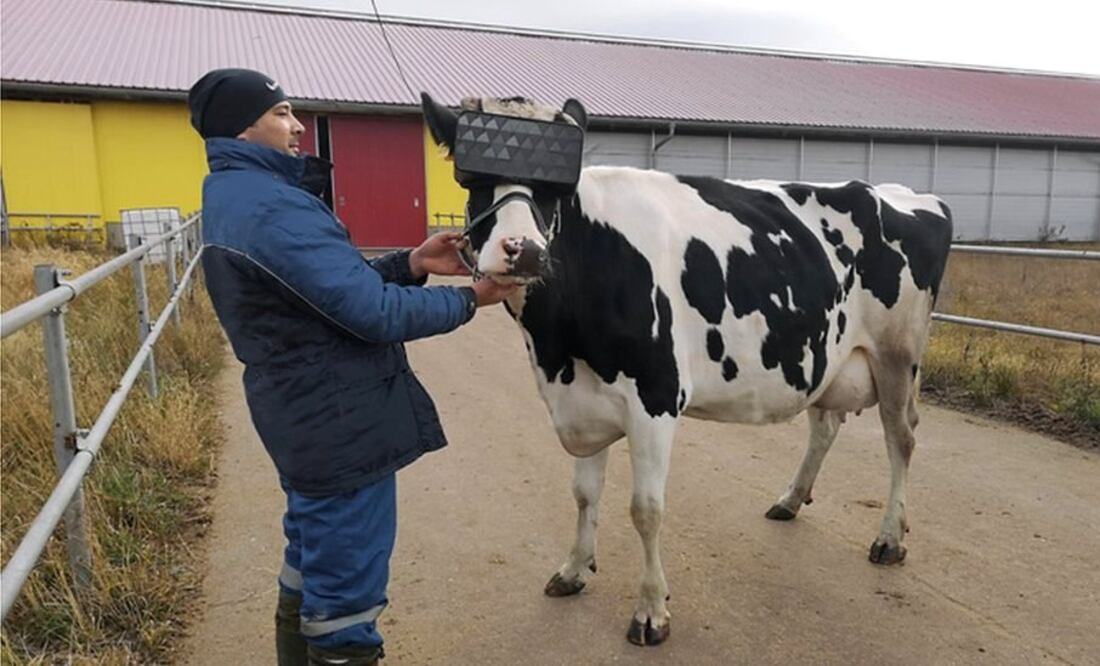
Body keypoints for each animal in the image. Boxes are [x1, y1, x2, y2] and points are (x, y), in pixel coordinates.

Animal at [420, 92, 953, 646]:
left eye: (555, 190)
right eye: (472, 182)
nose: (522, 250)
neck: (558, 348)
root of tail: (904, 194)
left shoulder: (654, 398)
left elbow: (646, 509)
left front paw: (651, 611)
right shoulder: (582, 400)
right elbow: (585, 495)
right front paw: (573, 570)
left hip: (898, 355)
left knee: (901, 438)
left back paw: (889, 538)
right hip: (825, 354)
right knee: (825, 424)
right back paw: (790, 499)